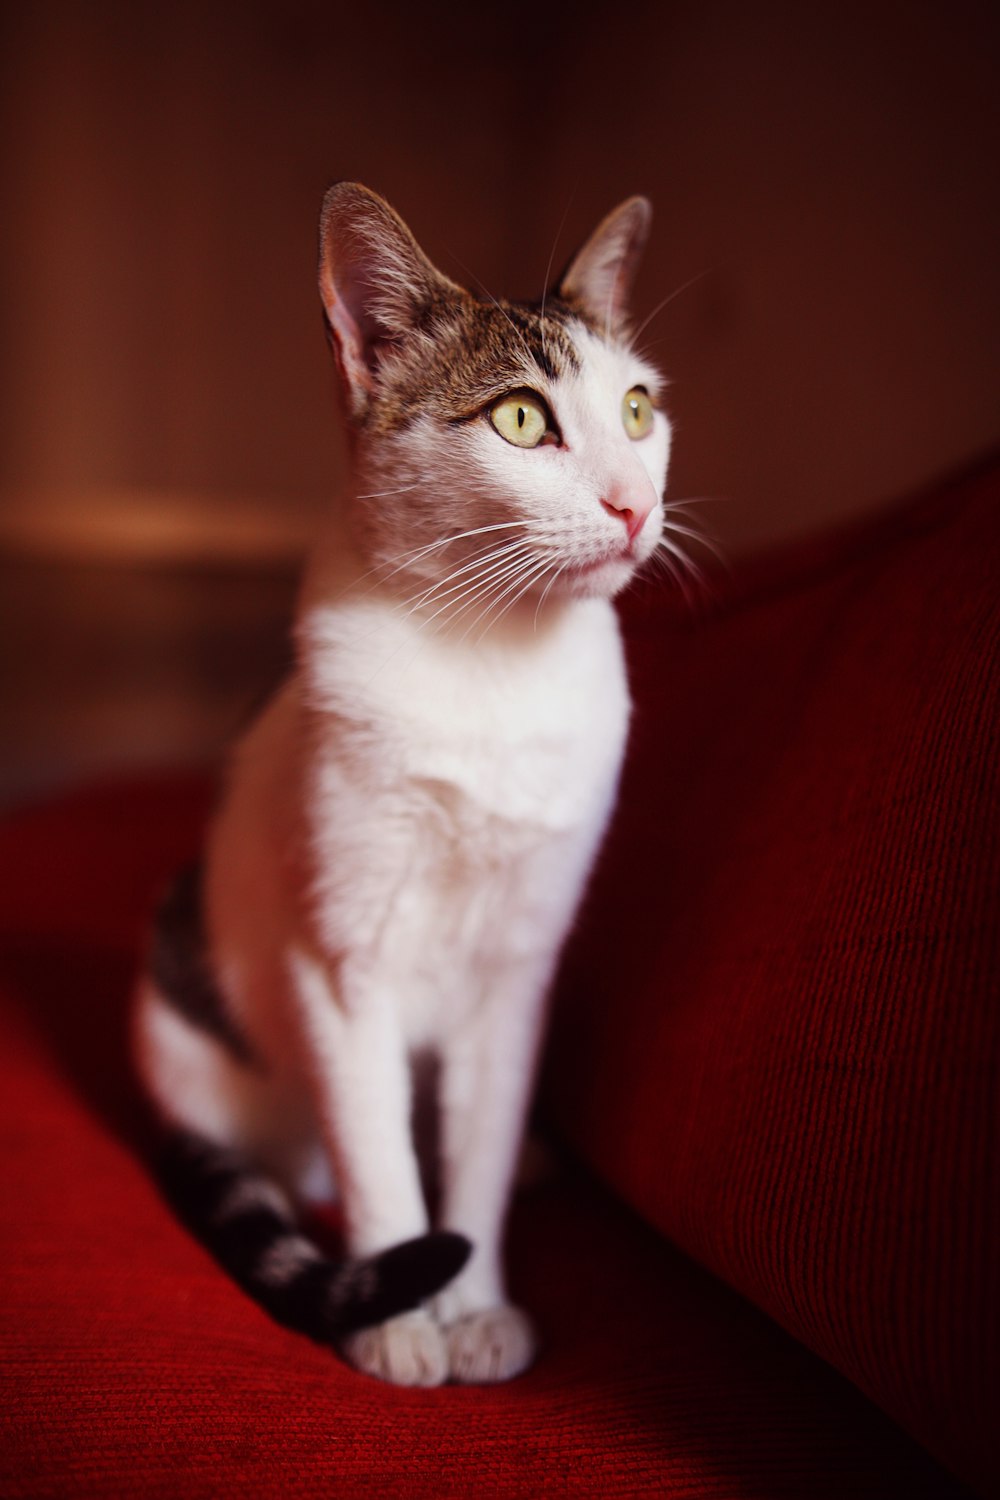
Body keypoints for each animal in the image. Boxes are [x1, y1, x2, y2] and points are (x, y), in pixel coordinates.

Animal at [131, 181, 671, 1386]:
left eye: (638, 411)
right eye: (519, 418)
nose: (631, 505)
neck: (489, 661)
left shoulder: (516, 970)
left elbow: (471, 1157)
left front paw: (476, 1305)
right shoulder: (341, 962)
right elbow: (381, 1161)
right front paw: (397, 1315)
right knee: (315, 1153)